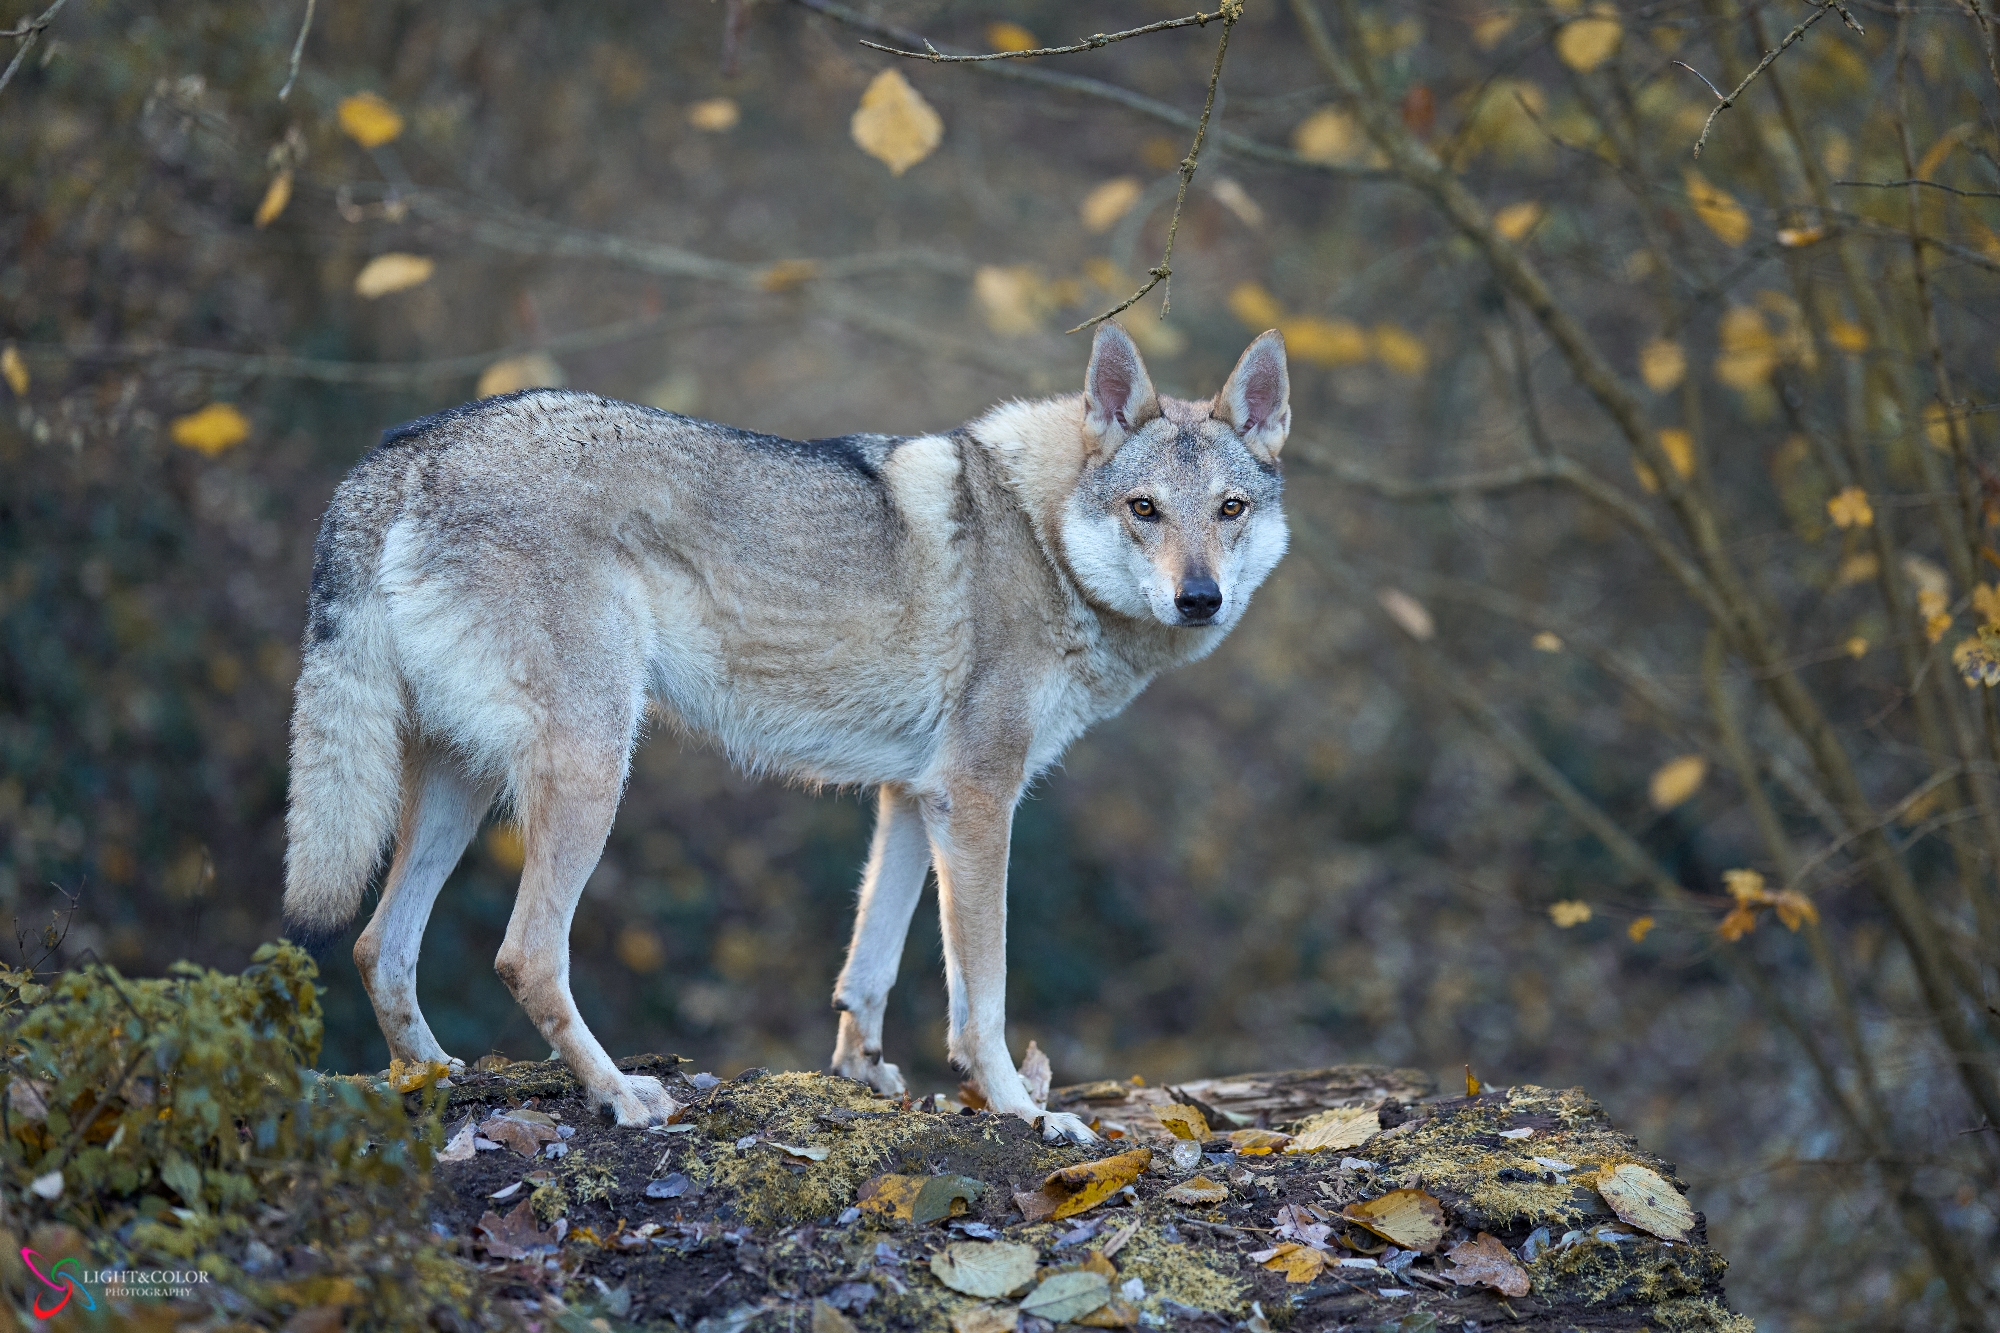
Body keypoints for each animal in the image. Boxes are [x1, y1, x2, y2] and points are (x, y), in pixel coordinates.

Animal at [282, 320, 1288, 1128]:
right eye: (1144, 509)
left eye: (1229, 510)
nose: (1200, 598)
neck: (1043, 541)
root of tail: (406, 451)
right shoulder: (978, 797)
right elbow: (984, 995)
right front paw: (1021, 1110)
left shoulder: (914, 796)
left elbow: (870, 966)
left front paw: (862, 1075)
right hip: (592, 771)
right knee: (525, 954)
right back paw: (623, 1096)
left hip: (464, 785)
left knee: (378, 945)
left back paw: (434, 1078)